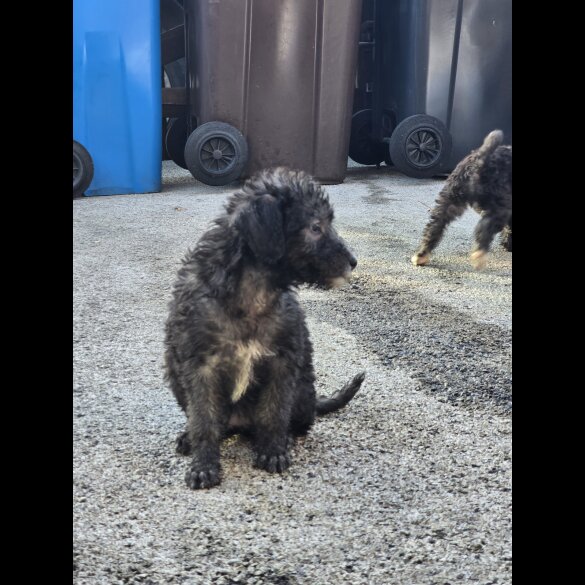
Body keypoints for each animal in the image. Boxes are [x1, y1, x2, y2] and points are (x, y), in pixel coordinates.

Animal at [164, 165, 364, 488]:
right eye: (315, 227)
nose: (353, 262)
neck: (253, 291)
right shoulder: (199, 366)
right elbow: (203, 419)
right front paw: (203, 464)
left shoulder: (283, 360)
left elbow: (273, 411)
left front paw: (272, 450)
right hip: (173, 372)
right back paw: (188, 437)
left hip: (303, 392)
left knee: (298, 422)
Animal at [410, 130, 512, 270]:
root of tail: (480, 160)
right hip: (498, 206)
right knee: (484, 229)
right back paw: (478, 257)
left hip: (449, 199)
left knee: (434, 226)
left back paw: (421, 255)